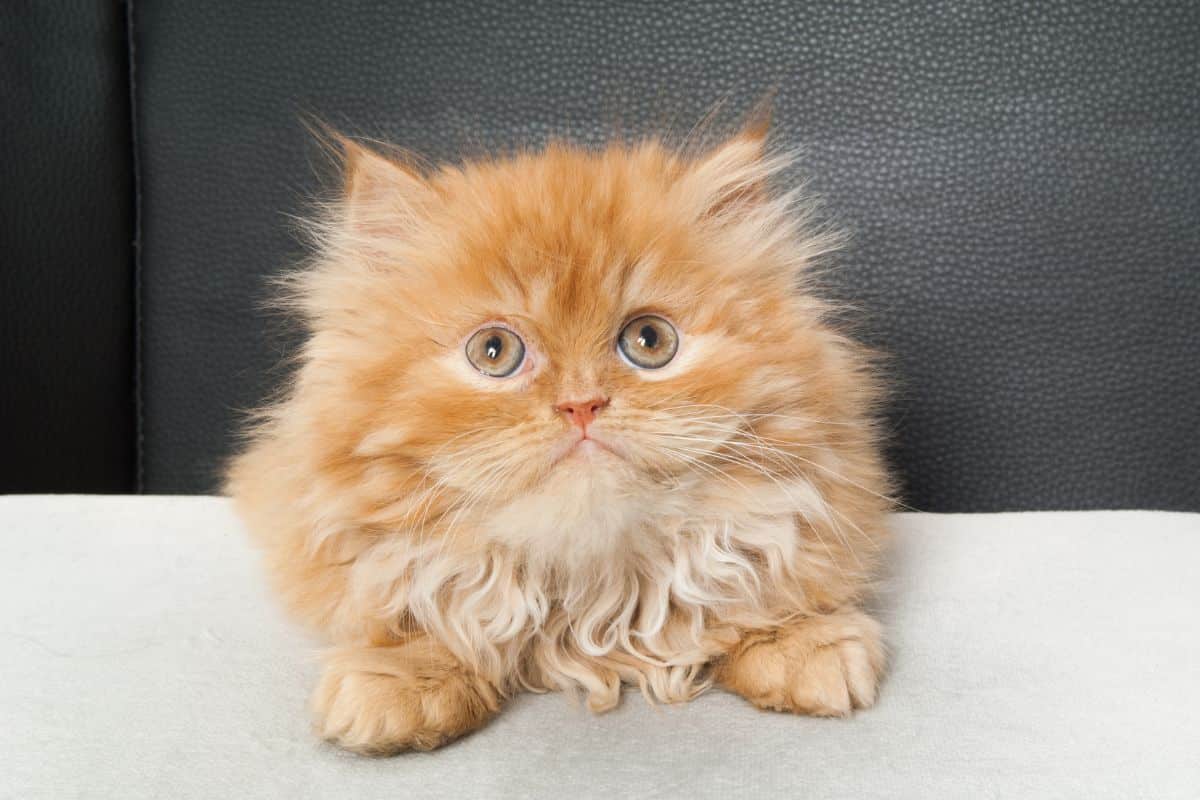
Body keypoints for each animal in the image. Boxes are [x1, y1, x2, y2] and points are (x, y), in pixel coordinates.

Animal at [229, 117, 897, 753]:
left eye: (650, 341)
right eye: (494, 352)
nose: (581, 405)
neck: (593, 593)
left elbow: (761, 578)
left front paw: (800, 643)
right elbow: (418, 603)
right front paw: (402, 679)